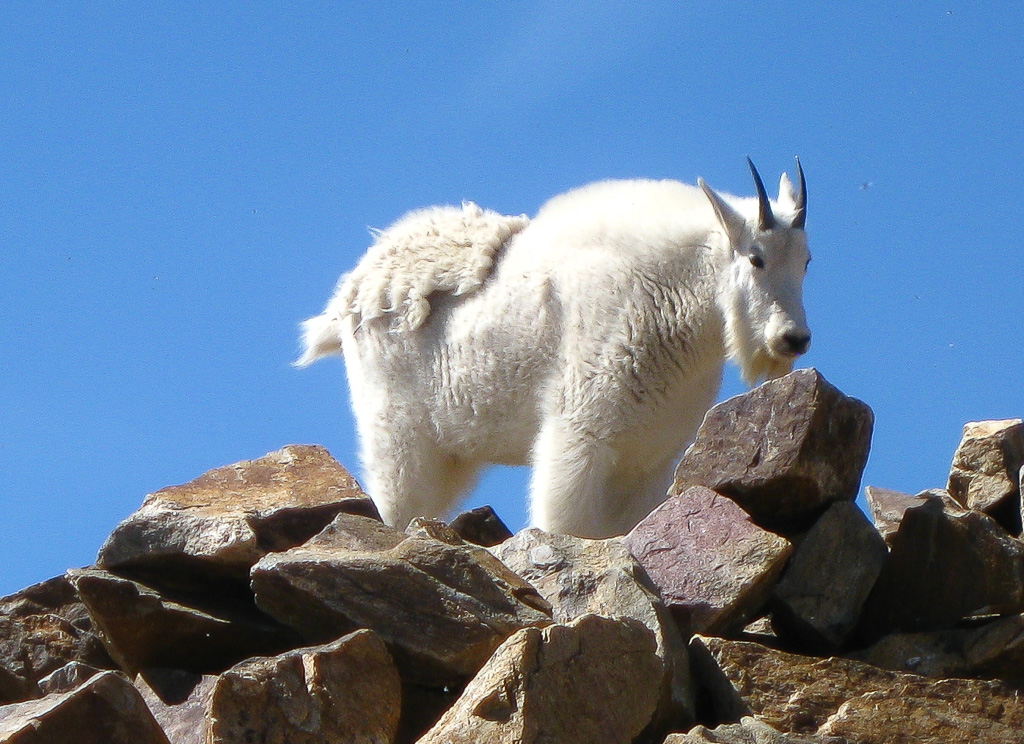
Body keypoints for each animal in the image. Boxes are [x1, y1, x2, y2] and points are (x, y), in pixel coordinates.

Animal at [298, 159, 812, 538]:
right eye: (755, 258)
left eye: (807, 260)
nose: (794, 339)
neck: (673, 295)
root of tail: (352, 295)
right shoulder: (581, 428)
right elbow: (567, 523)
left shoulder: (650, 458)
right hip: (396, 431)